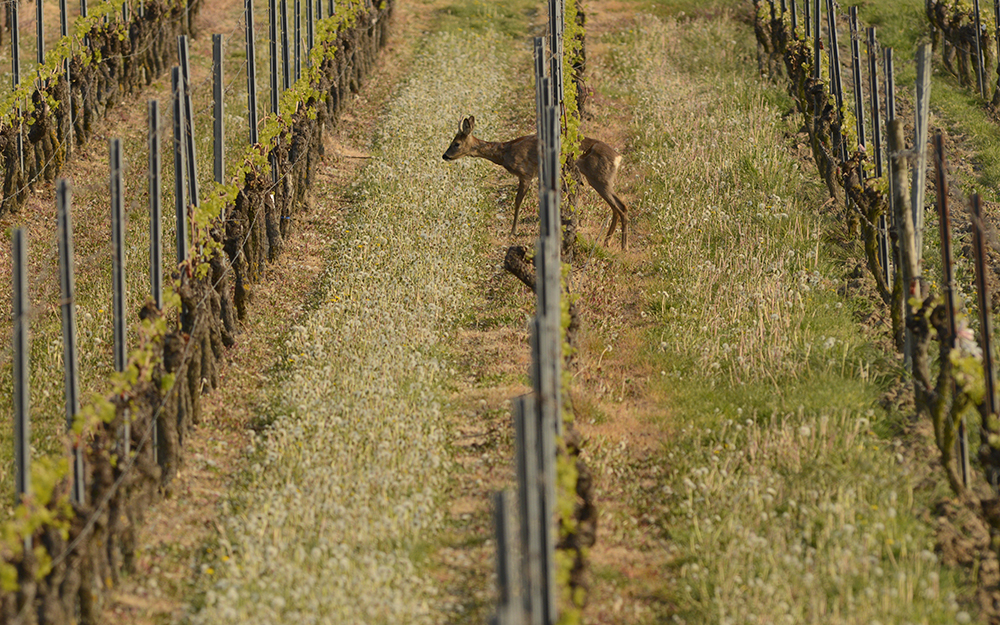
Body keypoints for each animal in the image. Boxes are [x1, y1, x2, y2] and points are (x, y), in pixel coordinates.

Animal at [444, 116, 628, 247]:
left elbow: (518, 201)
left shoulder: (525, 173)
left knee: (621, 207)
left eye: (456, 143)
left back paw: (623, 246)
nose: (444, 155)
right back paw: (607, 242)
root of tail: (618, 158)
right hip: (602, 180)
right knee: (619, 207)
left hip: (599, 178)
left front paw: (513, 231)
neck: (504, 153)